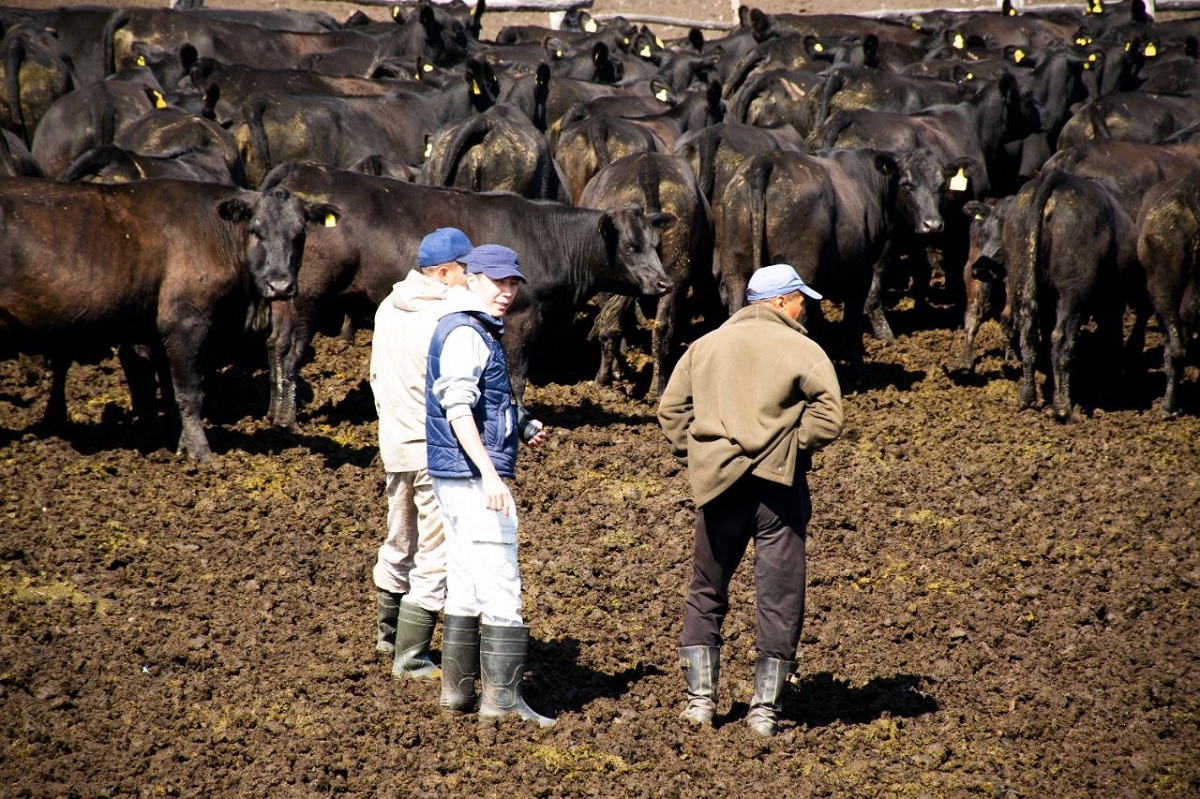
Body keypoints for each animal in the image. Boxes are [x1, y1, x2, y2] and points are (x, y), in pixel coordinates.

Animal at [0, 177, 340, 458]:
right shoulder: (185, 322)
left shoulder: (158, 332)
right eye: (255, 230)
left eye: (300, 232)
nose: (280, 285)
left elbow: (170, 390)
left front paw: (180, 446)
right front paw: (202, 454)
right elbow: (190, 392)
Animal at [259, 161, 676, 422]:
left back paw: (274, 411)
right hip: (309, 292)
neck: (548, 239)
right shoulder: (523, 313)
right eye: (630, 247)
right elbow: (517, 373)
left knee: (276, 343)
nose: (664, 282)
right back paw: (287, 418)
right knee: (292, 349)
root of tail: (300, 168)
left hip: (285, 290)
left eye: (655, 243)